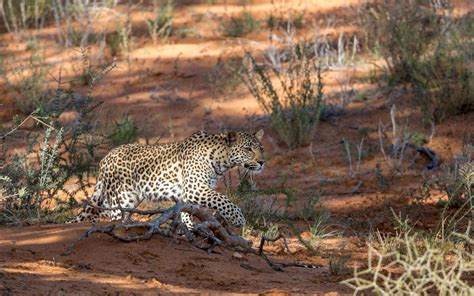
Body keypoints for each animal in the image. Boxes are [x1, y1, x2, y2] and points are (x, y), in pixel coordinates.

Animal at [68, 128, 264, 228]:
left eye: (261, 148)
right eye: (248, 149)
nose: (262, 162)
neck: (221, 159)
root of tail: (105, 158)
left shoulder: (188, 194)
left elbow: (187, 214)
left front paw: (188, 229)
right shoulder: (195, 189)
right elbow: (223, 200)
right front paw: (238, 219)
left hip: (126, 198)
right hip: (121, 198)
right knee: (112, 217)